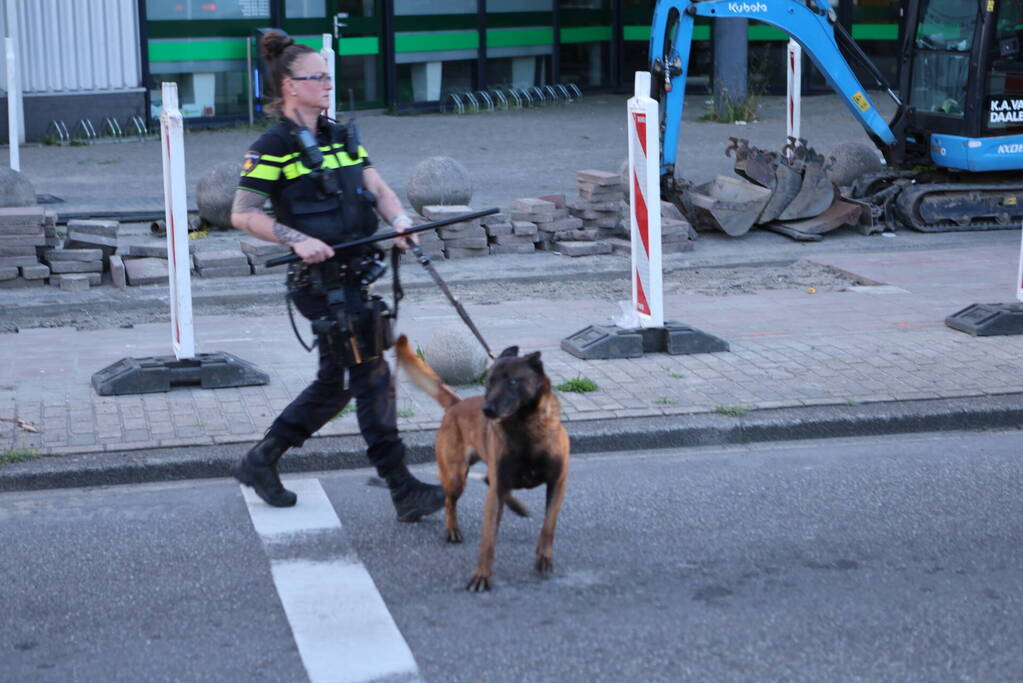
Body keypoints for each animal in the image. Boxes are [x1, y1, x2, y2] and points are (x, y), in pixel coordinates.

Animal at [392, 333, 568, 588]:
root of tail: (457, 403)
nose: (488, 410)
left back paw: (517, 507)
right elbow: (488, 539)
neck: (525, 429)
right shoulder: (496, 490)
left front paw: (543, 558)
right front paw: (481, 575)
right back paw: (453, 530)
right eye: (489, 382)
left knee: (488, 480)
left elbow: (549, 525)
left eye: (513, 382)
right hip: (457, 476)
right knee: (451, 501)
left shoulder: (557, 483)